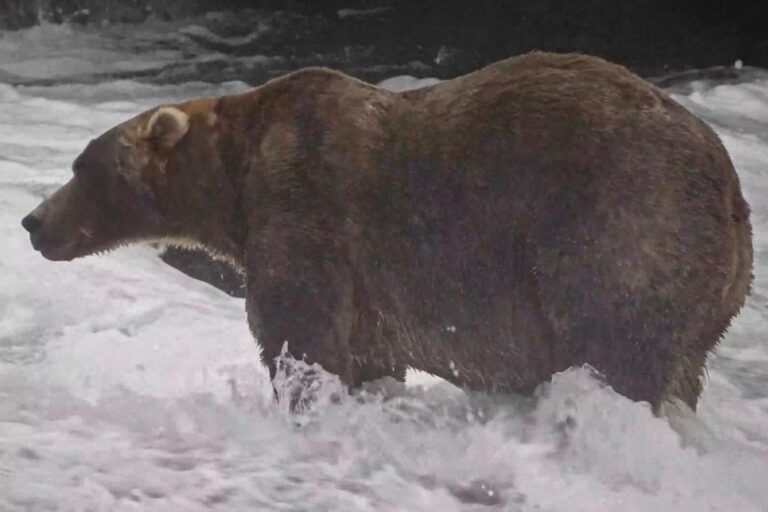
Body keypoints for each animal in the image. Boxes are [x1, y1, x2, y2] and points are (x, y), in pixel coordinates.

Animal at [21, 52, 752, 413]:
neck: (234, 179)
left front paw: (301, 398)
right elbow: (368, 352)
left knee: (615, 342)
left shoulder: (306, 207)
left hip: (618, 225)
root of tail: (732, 190)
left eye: (82, 167)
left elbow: (299, 332)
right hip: (709, 294)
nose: (32, 222)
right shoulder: (370, 289)